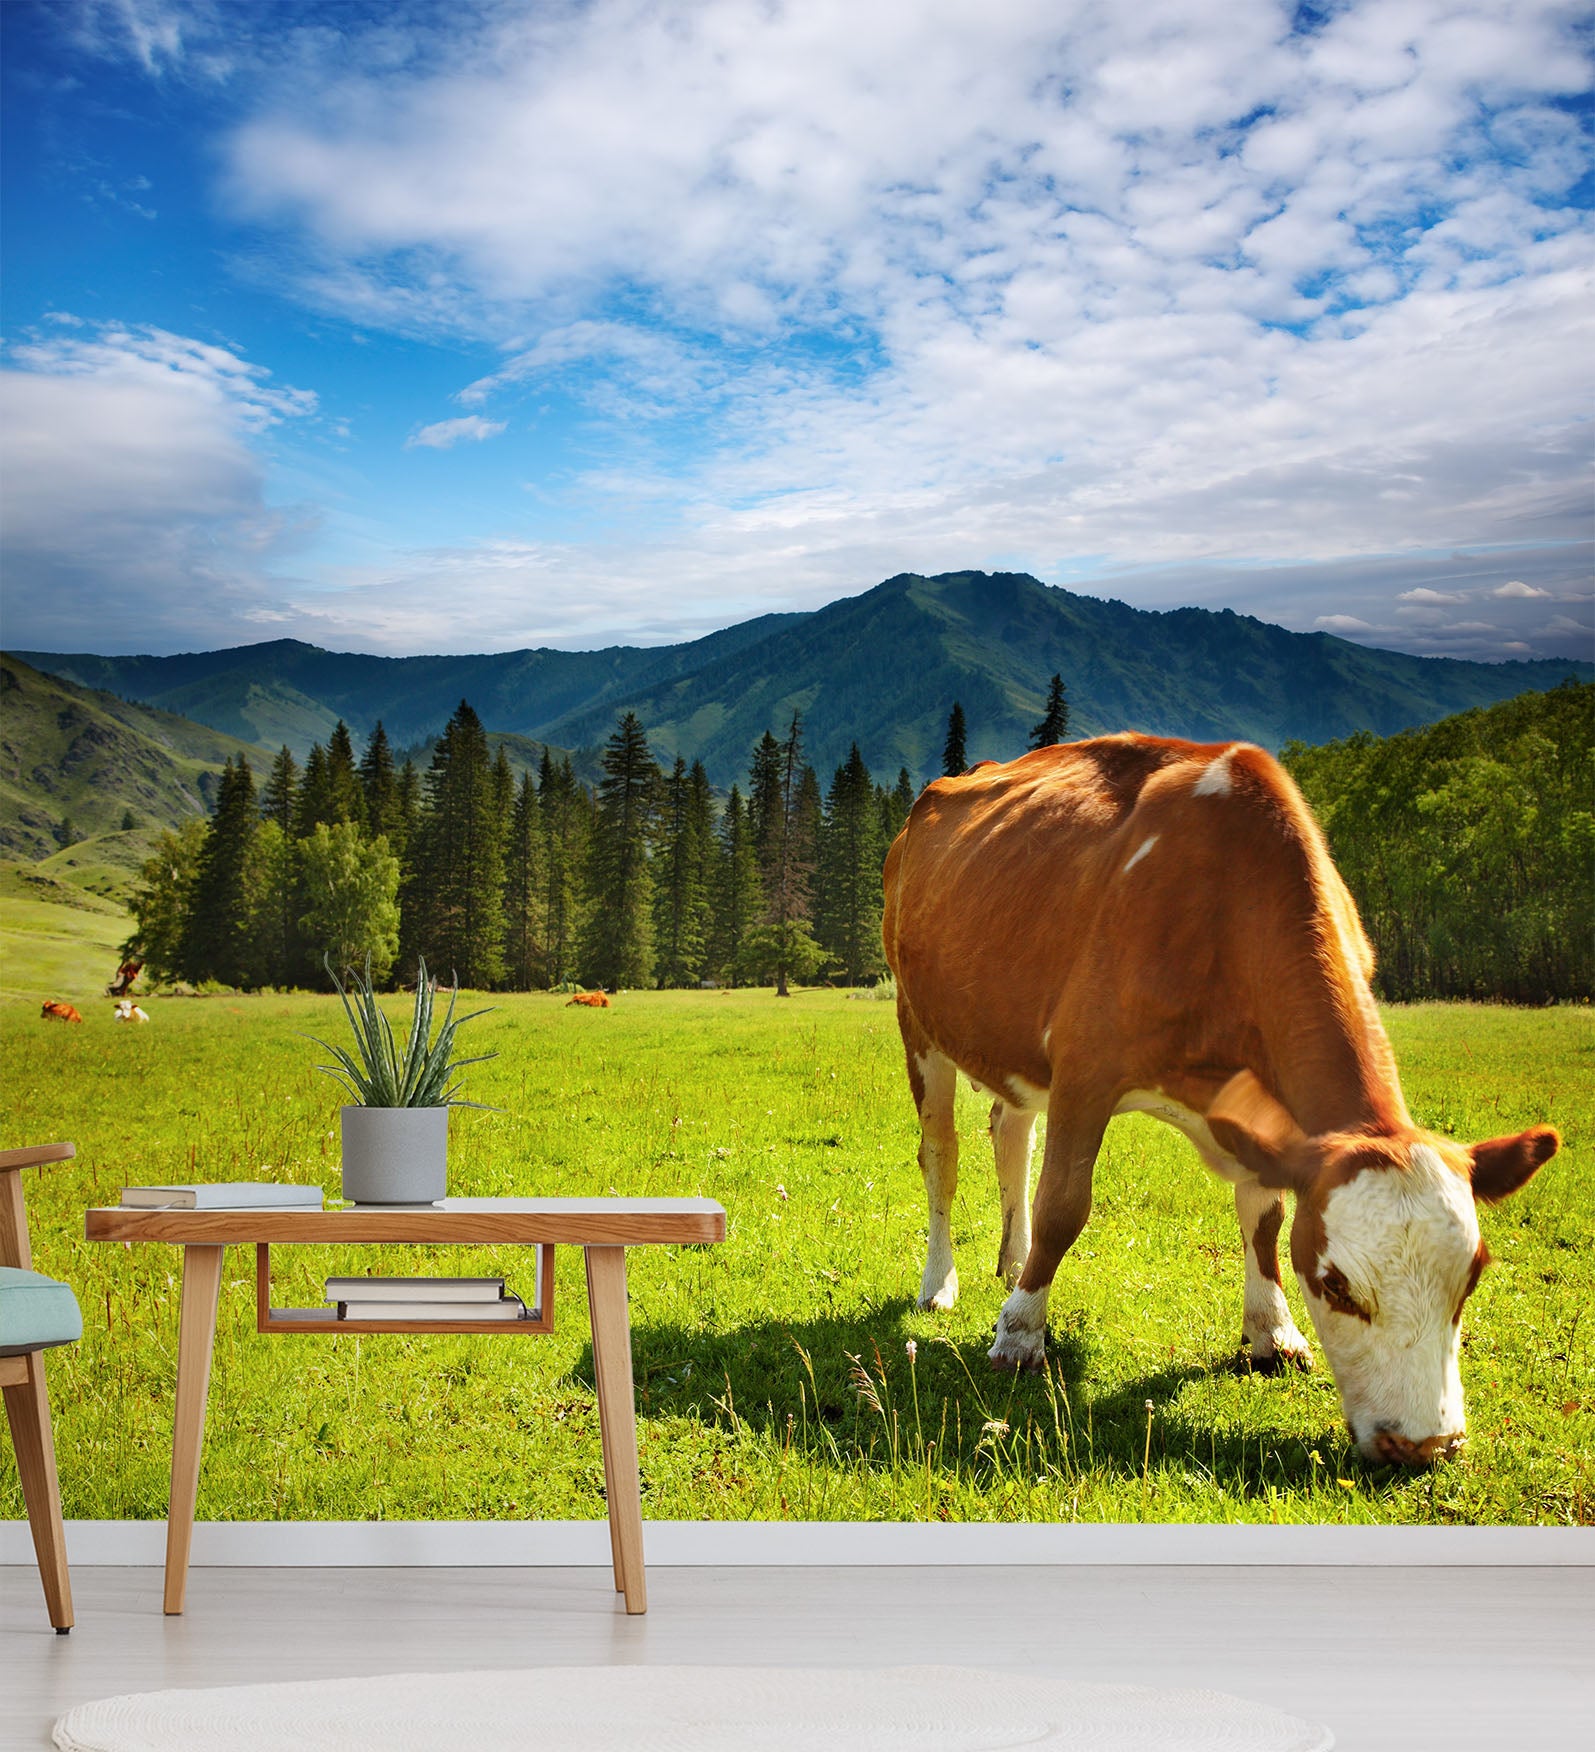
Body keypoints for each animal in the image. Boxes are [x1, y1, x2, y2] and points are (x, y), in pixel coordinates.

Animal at [882, 734, 1559, 1467]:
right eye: (1335, 1283)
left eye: (1473, 1274)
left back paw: (1011, 1261)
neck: (1225, 912)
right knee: (941, 1156)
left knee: (1011, 1132)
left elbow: (1264, 1217)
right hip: (918, 1020)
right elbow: (1062, 1205)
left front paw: (1273, 1332)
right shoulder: (1084, 1066)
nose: (1424, 1443)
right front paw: (1019, 1335)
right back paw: (940, 1284)